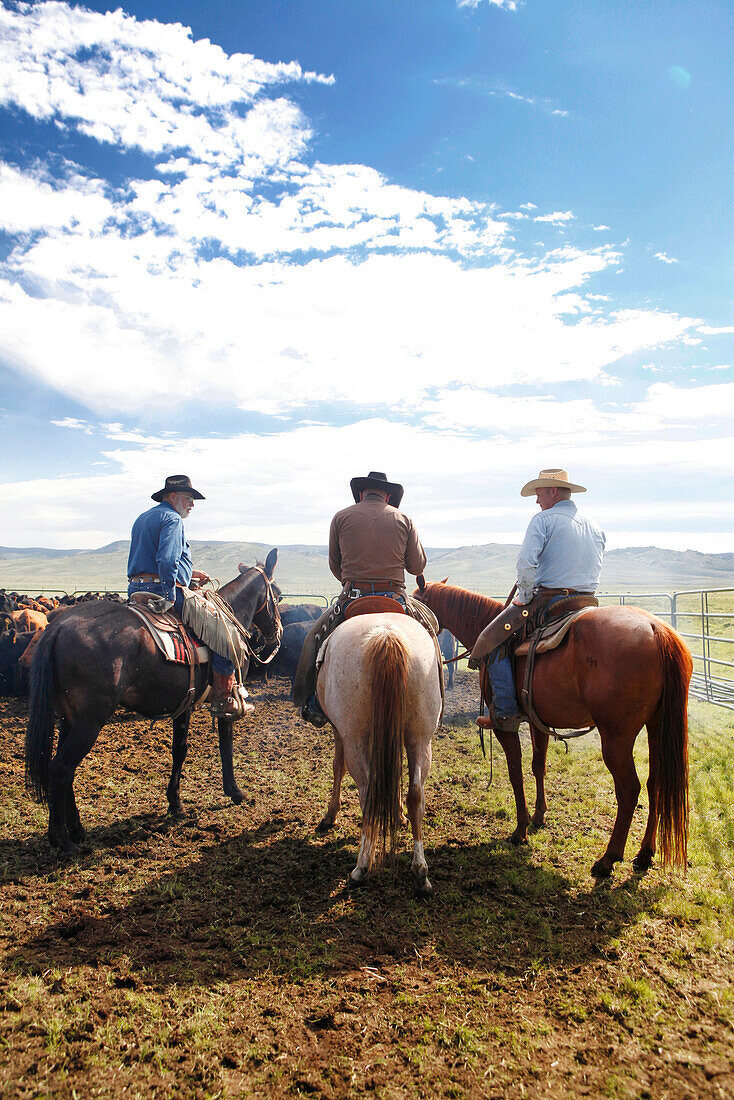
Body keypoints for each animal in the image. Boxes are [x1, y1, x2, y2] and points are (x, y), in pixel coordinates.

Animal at [25, 554, 281, 853]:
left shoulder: (185, 705)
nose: (277, 634)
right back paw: (62, 840)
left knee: (64, 769)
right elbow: (225, 744)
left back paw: (76, 829)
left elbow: (179, 750)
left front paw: (175, 804)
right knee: (61, 768)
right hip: (89, 723)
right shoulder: (225, 702)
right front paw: (235, 792)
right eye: (277, 595)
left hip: (69, 719)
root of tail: (58, 627)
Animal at [316, 616, 442, 897]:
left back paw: (362, 866)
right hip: (420, 739)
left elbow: (337, 766)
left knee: (367, 793)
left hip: (355, 738)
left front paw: (330, 814)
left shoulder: (340, 732)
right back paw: (421, 872)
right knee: (416, 795)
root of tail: (387, 636)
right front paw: (398, 814)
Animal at [415, 580, 691, 880]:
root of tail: (657, 630)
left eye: (416, 601)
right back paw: (644, 854)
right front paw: (538, 817)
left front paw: (520, 830)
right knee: (656, 783)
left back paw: (608, 859)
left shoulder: (505, 724)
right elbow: (538, 766)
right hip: (656, 725)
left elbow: (515, 773)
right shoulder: (538, 721)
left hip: (617, 736)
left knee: (629, 788)